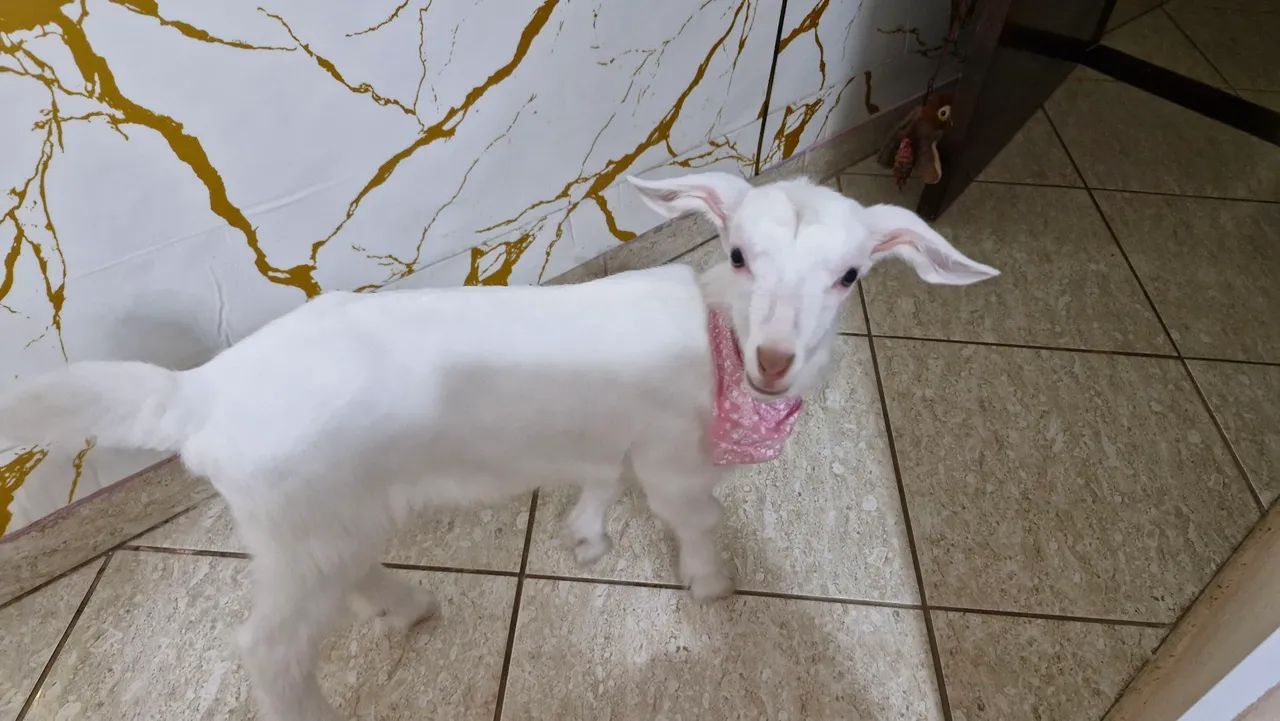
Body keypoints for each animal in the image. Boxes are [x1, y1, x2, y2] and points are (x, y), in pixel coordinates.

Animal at [0, 172, 997, 721]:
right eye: (741, 255)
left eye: (851, 276)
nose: (775, 362)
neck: (719, 337)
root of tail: (199, 395)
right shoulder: (673, 460)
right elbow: (697, 521)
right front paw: (714, 590)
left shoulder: (614, 438)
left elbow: (597, 480)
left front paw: (588, 538)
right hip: (305, 523)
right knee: (268, 651)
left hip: (325, 523)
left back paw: (410, 608)